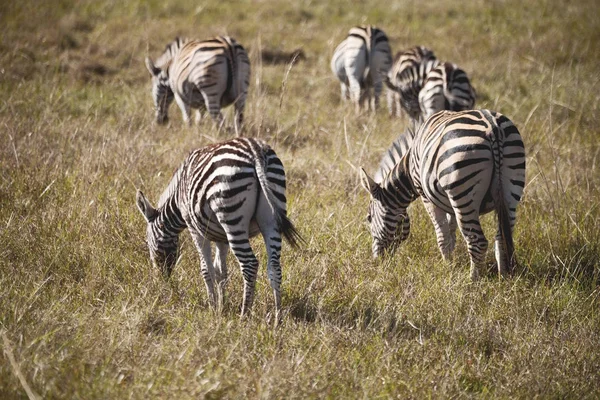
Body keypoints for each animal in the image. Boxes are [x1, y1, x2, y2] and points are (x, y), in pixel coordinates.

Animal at [138, 138, 302, 318]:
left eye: (148, 243)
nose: (162, 280)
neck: (177, 202)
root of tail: (255, 151)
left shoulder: (195, 228)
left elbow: (206, 269)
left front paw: (212, 307)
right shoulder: (221, 237)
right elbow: (221, 271)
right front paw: (222, 306)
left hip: (232, 215)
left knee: (250, 265)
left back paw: (244, 315)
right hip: (271, 219)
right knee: (274, 267)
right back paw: (278, 317)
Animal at [360, 108, 524, 280]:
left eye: (369, 218)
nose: (377, 261)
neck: (409, 168)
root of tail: (493, 127)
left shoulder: (426, 196)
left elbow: (442, 236)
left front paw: (447, 269)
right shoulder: (448, 201)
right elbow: (451, 233)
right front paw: (452, 263)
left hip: (463, 192)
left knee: (477, 242)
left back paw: (472, 281)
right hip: (511, 189)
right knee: (502, 238)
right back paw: (503, 278)